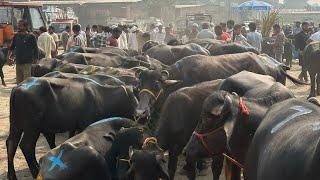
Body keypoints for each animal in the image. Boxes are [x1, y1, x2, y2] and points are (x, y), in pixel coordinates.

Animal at [6, 77, 138, 179]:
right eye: (133, 99)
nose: (139, 113)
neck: (101, 96)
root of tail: (18, 87)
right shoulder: (86, 123)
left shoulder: (74, 126)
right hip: (32, 127)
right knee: (26, 145)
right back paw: (35, 171)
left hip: (15, 124)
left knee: (11, 143)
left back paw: (12, 175)